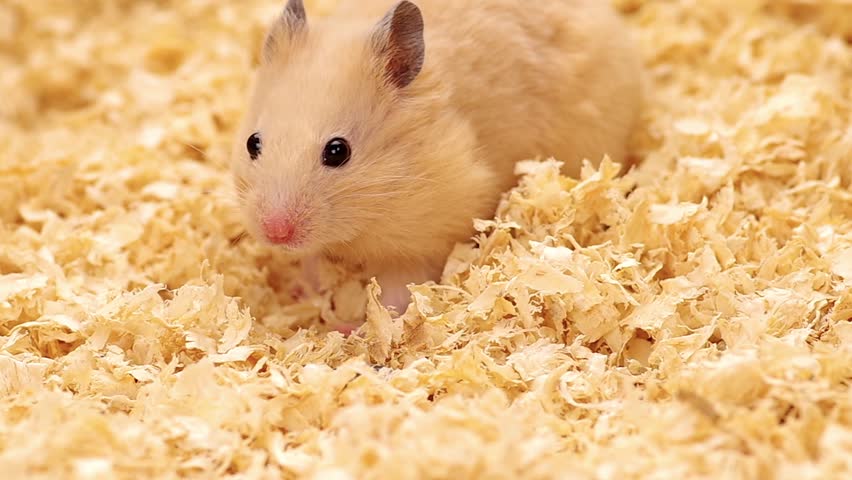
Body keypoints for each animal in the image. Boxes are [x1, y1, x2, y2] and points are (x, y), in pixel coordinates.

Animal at [230, 0, 644, 326]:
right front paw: (302, 291)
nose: (275, 232)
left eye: (337, 151)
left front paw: (353, 329)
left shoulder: (426, 239)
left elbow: (394, 298)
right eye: (253, 143)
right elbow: (314, 264)